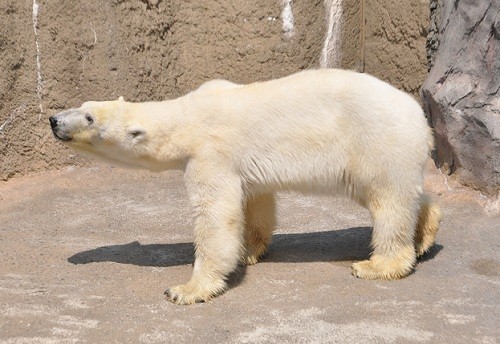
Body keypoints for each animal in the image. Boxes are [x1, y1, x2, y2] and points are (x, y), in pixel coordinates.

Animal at [49, 69, 442, 304]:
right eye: (82, 104)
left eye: (89, 118)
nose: (53, 119)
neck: (186, 117)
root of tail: (419, 116)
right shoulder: (241, 165)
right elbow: (254, 201)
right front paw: (249, 252)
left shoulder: (210, 152)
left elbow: (214, 216)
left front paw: (186, 289)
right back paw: (425, 232)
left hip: (376, 142)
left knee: (387, 201)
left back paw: (378, 265)